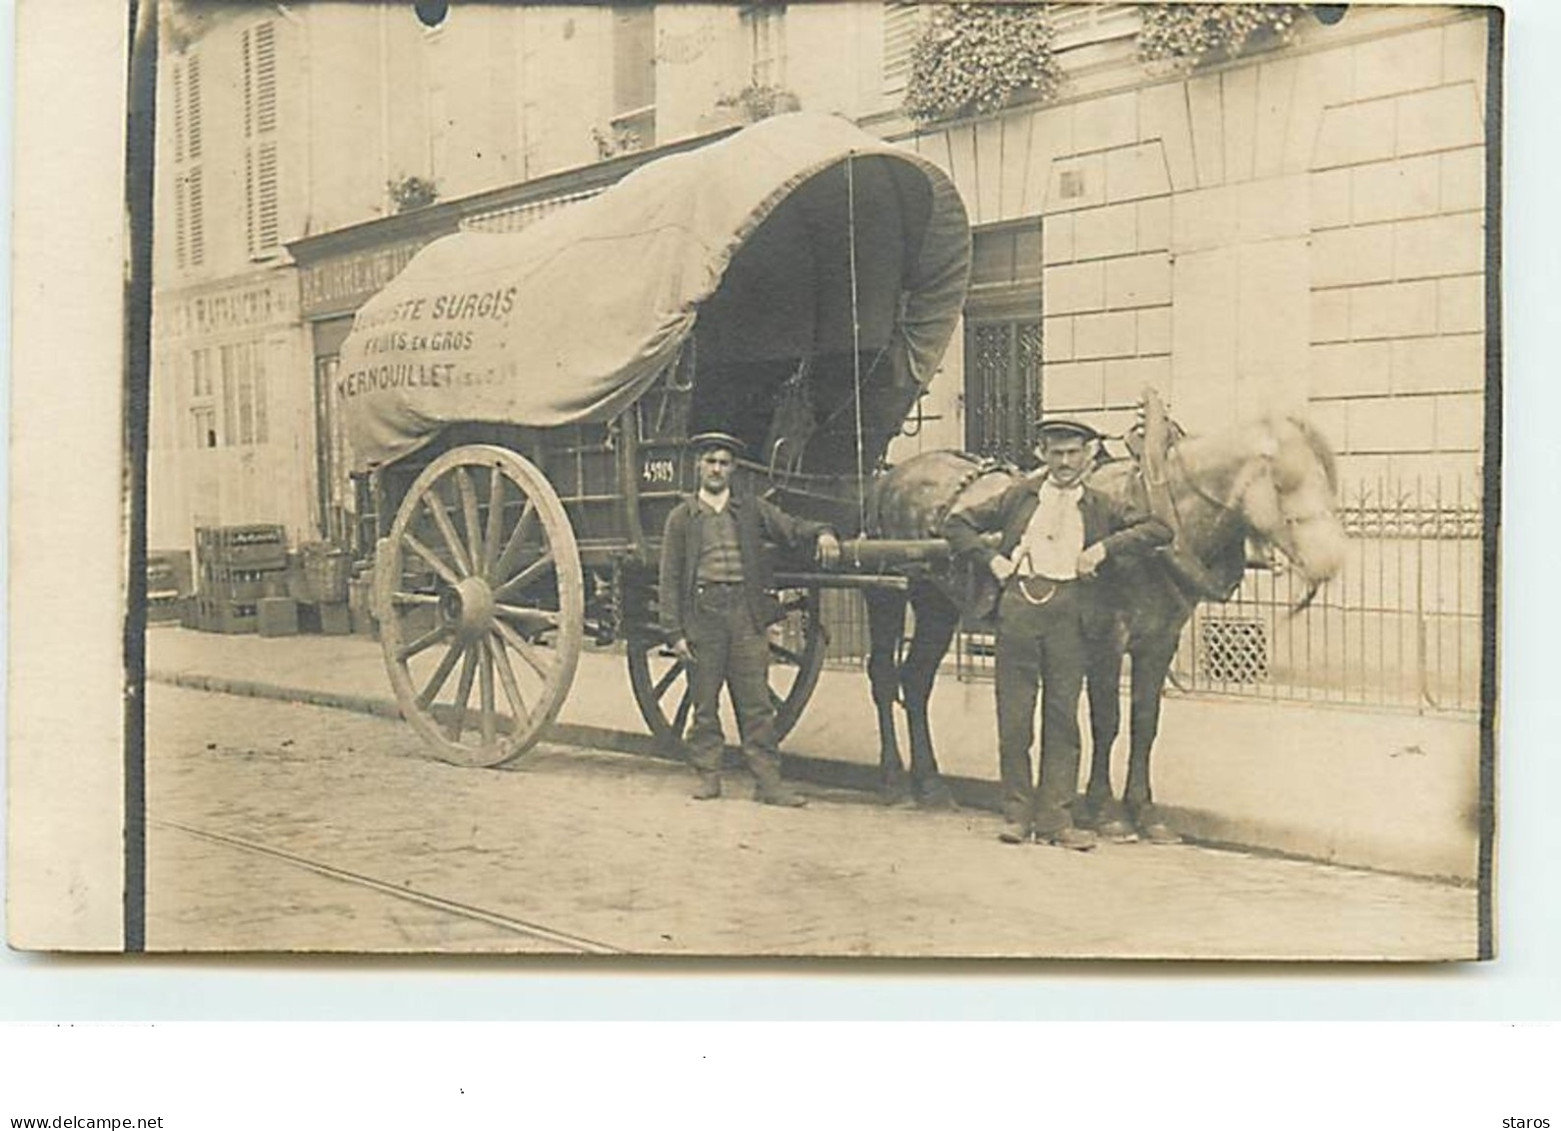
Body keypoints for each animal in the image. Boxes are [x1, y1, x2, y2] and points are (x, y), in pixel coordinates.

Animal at [861, 405, 1348, 836]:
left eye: (1329, 479)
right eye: (1285, 481)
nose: (1330, 559)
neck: (1165, 513)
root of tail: (889, 477)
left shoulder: (1160, 640)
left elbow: (1144, 724)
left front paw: (1145, 812)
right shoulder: (1107, 639)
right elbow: (1106, 721)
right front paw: (1105, 811)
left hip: (935, 605)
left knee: (916, 681)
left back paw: (930, 785)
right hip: (888, 592)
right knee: (884, 677)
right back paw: (893, 780)